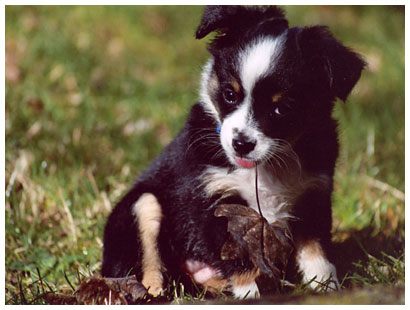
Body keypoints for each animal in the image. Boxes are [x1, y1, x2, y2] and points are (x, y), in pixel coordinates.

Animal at [102, 5, 366, 298]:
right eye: (230, 94)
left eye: (281, 109)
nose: (241, 143)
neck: (266, 167)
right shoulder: (215, 202)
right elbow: (240, 260)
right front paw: (250, 295)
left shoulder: (313, 195)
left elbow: (316, 252)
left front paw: (325, 288)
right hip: (142, 205)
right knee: (149, 269)